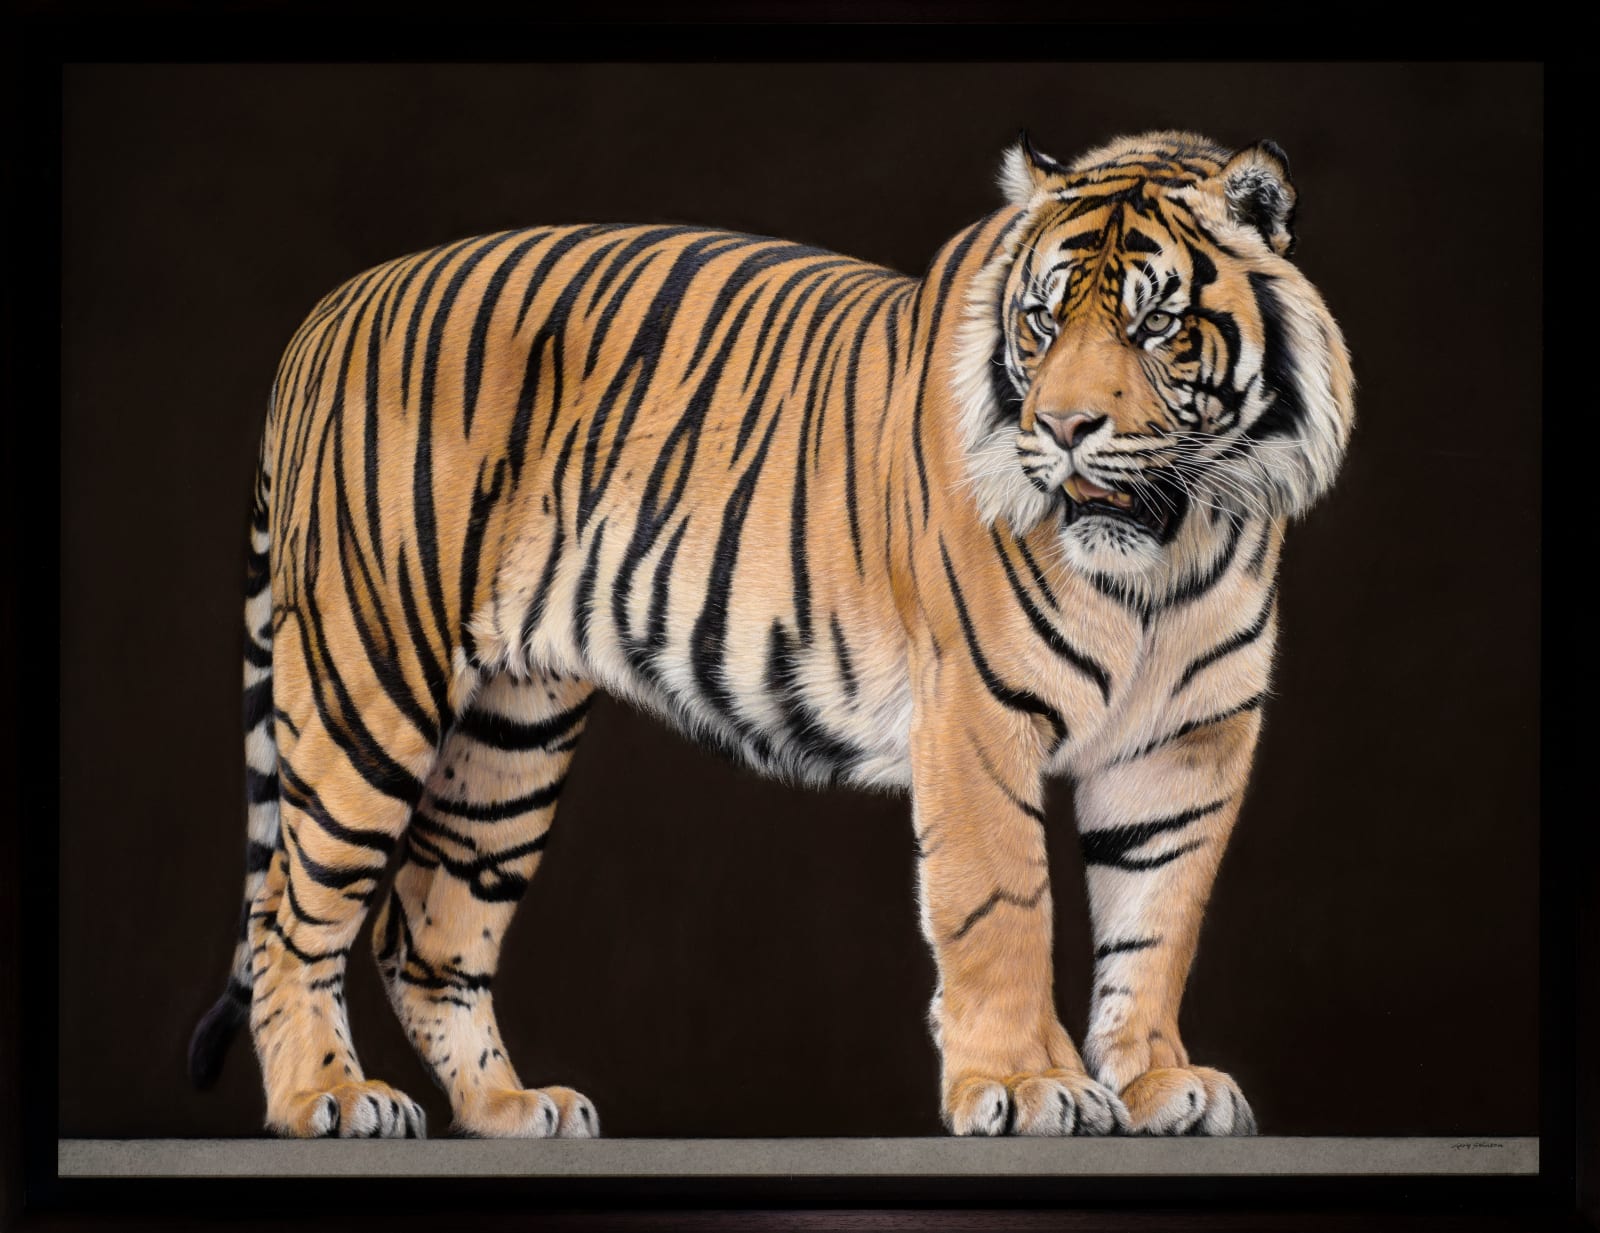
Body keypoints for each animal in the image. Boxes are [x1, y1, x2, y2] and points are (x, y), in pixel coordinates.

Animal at [187, 129, 1354, 1140]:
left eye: (1156, 326)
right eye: (1040, 322)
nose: (1064, 429)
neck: (1173, 546)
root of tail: (328, 313)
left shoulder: (1190, 740)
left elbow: (1158, 917)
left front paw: (1158, 1081)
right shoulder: (977, 716)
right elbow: (1004, 908)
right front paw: (1029, 1084)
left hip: (510, 734)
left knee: (425, 921)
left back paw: (512, 1109)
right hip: (367, 682)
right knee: (291, 912)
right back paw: (326, 1100)